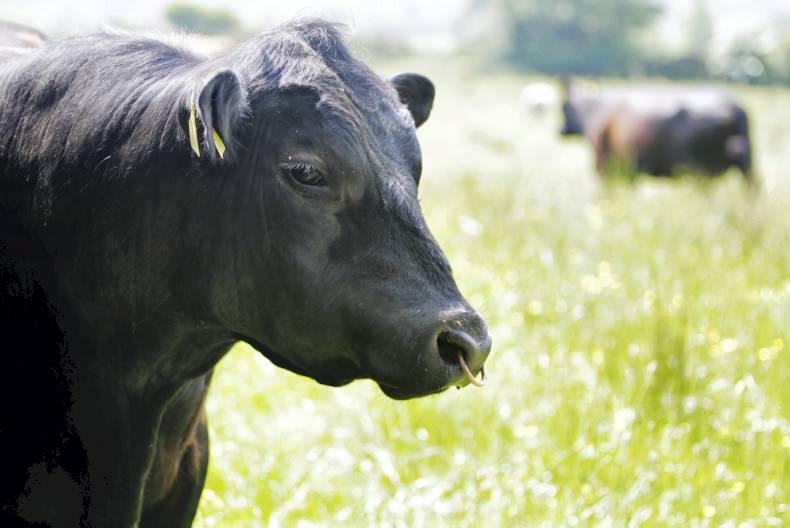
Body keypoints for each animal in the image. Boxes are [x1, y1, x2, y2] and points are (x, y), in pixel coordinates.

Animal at [560, 78, 755, 185]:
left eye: (563, 108)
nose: (560, 131)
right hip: (745, 165)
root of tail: (735, 108)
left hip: (700, 171)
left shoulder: (607, 168)